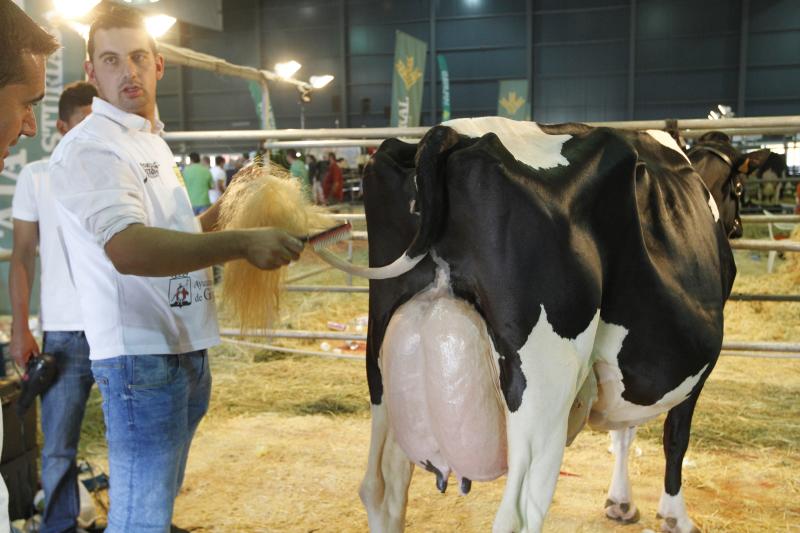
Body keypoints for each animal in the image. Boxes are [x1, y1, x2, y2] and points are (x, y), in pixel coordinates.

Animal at [322, 118, 764, 532]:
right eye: (741, 188)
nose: (740, 226)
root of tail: (447, 135)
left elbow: (624, 430)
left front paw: (620, 502)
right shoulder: (695, 366)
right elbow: (675, 436)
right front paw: (674, 516)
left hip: (382, 363)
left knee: (382, 488)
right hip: (544, 388)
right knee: (517, 516)